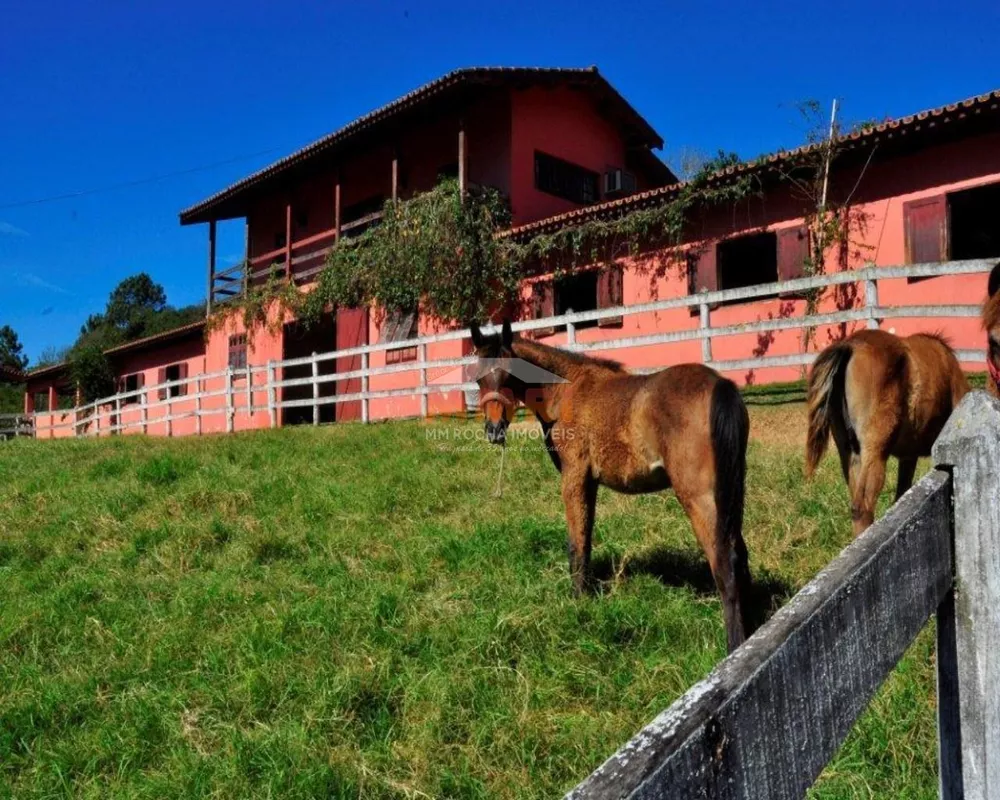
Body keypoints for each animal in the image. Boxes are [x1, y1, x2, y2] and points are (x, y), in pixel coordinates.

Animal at [472, 322, 752, 652]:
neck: (568, 390)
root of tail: (720, 385)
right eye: (478, 377)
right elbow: (587, 537)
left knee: (725, 563)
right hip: (731, 494)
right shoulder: (590, 482)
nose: (494, 430)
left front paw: (578, 601)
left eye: (508, 374)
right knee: (740, 556)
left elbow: (576, 542)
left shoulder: (574, 477)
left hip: (699, 498)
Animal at [804, 328, 968, 536]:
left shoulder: (908, 456)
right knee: (862, 507)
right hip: (874, 453)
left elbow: (901, 496)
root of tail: (850, 346)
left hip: (850, 454)